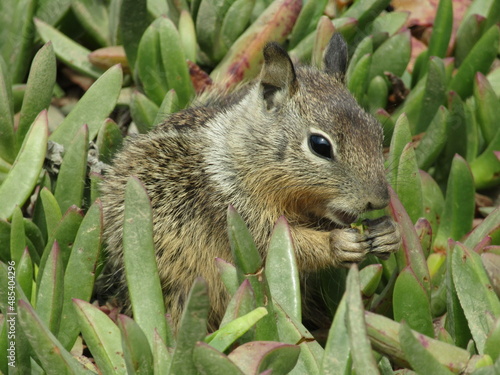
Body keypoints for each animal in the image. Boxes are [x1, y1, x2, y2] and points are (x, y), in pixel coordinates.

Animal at [97, 33, 402, 332]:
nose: (379, 199)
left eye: (376, 131)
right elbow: (281, 244)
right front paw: (336, 243)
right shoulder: (236, 214)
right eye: (320, 145)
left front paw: (388, 232)